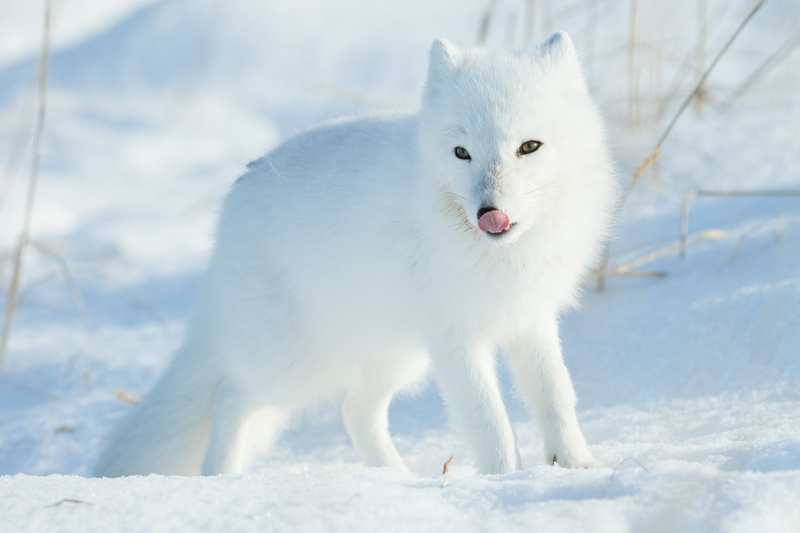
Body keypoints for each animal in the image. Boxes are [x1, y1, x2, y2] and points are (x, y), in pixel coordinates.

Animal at [95, 31, 618, 477]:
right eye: (461, 152)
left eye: (529, 147)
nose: (488, 212)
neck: (501, 257)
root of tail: (235, 197)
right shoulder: (455, 336)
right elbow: (488, 420)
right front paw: (504, 479)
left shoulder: (529, 317)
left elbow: (556, 397)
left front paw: (578, 466)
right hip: (297, 365)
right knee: (230, 397)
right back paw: (222, 476)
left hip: (396, 353)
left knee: (354, 410)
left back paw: (395, 479)